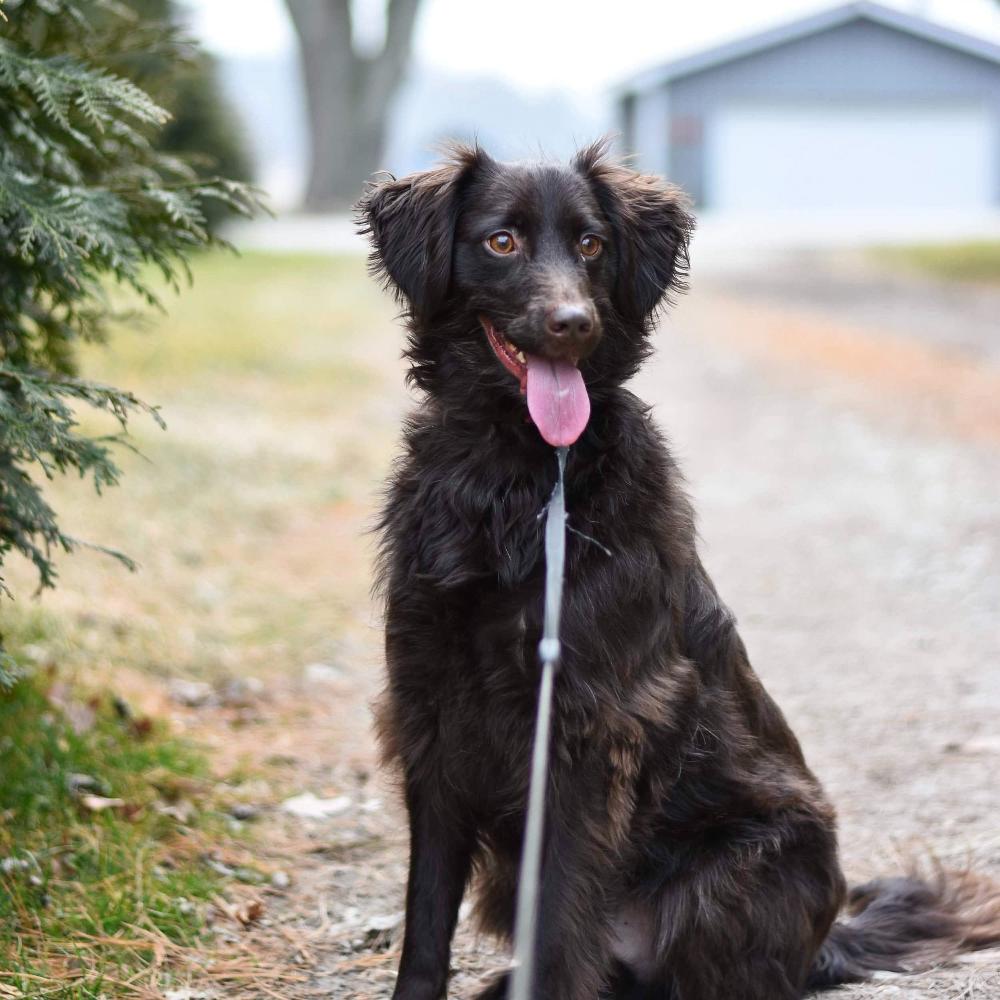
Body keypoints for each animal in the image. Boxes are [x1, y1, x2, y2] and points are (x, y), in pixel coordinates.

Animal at [356, 141, 996, 1000]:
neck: (519, 475)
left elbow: (560, 919)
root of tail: (822, 944)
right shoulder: (431, 716)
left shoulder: (588, 731)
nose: (574, 324)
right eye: (502, 242)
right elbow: (426, 921)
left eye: (592, 244)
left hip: (730, 877)